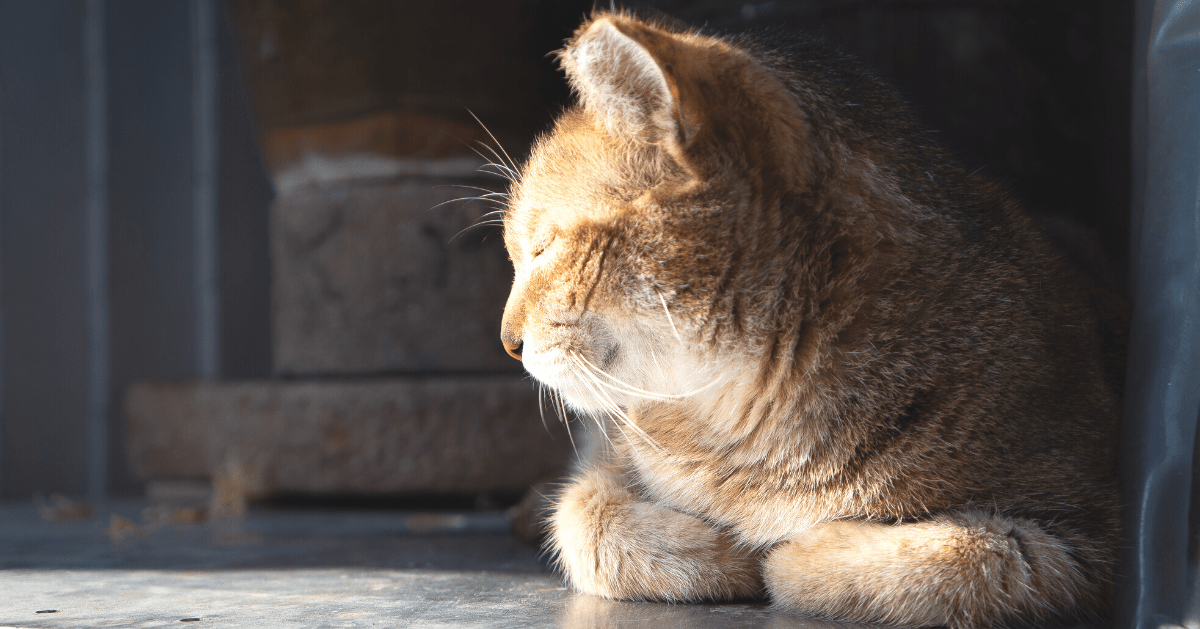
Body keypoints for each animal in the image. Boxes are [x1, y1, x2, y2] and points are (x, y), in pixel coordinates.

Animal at [496, 11, 1123, 629]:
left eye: (545, 247)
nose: (507, 342)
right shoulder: (612, 462)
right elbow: (586, 517)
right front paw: (721, 553)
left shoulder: (1089, 530)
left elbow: (966, 557)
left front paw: (795, 554)